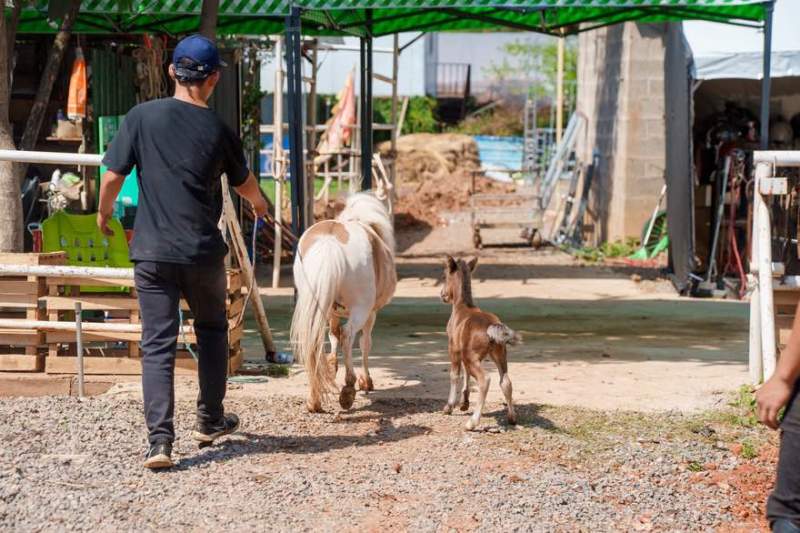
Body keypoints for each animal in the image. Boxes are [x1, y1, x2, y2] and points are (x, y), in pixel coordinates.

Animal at [290, 192, 397, 413]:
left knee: (315, 342)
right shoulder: (371, 313)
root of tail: (330, 241)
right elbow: (365, 343)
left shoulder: (332, 312)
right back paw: (348, 389)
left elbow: (333, 335)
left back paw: (314, 400)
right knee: (349, 335)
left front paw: (331, 366)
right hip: (361, 309)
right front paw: (366, 381)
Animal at [441, 256, 519, 430]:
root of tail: (492, 326)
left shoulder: (453, 348)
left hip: (471, 356)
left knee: (485, 380)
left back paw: (472, 422)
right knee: (506, 381)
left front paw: (449, 406)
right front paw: (464, 403)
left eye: (445, 276)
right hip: (499, 354)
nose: (442, 294)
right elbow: (467, 374)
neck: (462, 306)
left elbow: (455, 375)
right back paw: (512, 418)